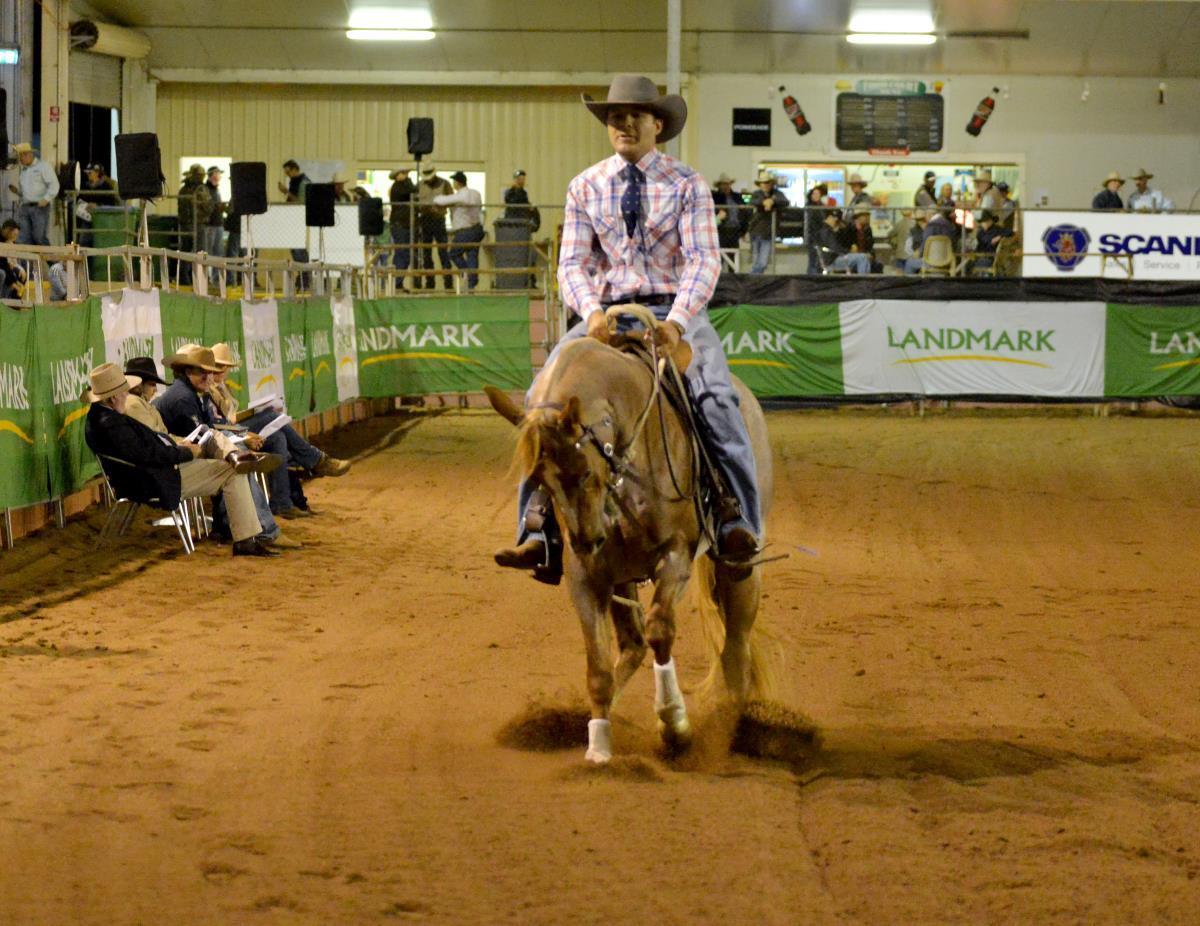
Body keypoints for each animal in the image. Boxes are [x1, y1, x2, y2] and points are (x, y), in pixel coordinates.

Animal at [486, 305, 774, 764]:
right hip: (621, 574)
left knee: (735, 645)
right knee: (635, 644)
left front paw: (674, 725)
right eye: (539, 480)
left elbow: (661, 630)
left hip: (741, 568)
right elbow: (599, 669)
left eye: (585, 471)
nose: (587, 540)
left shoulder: (675, 557)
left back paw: (732, 722)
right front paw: (598, 744)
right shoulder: (588, 578)